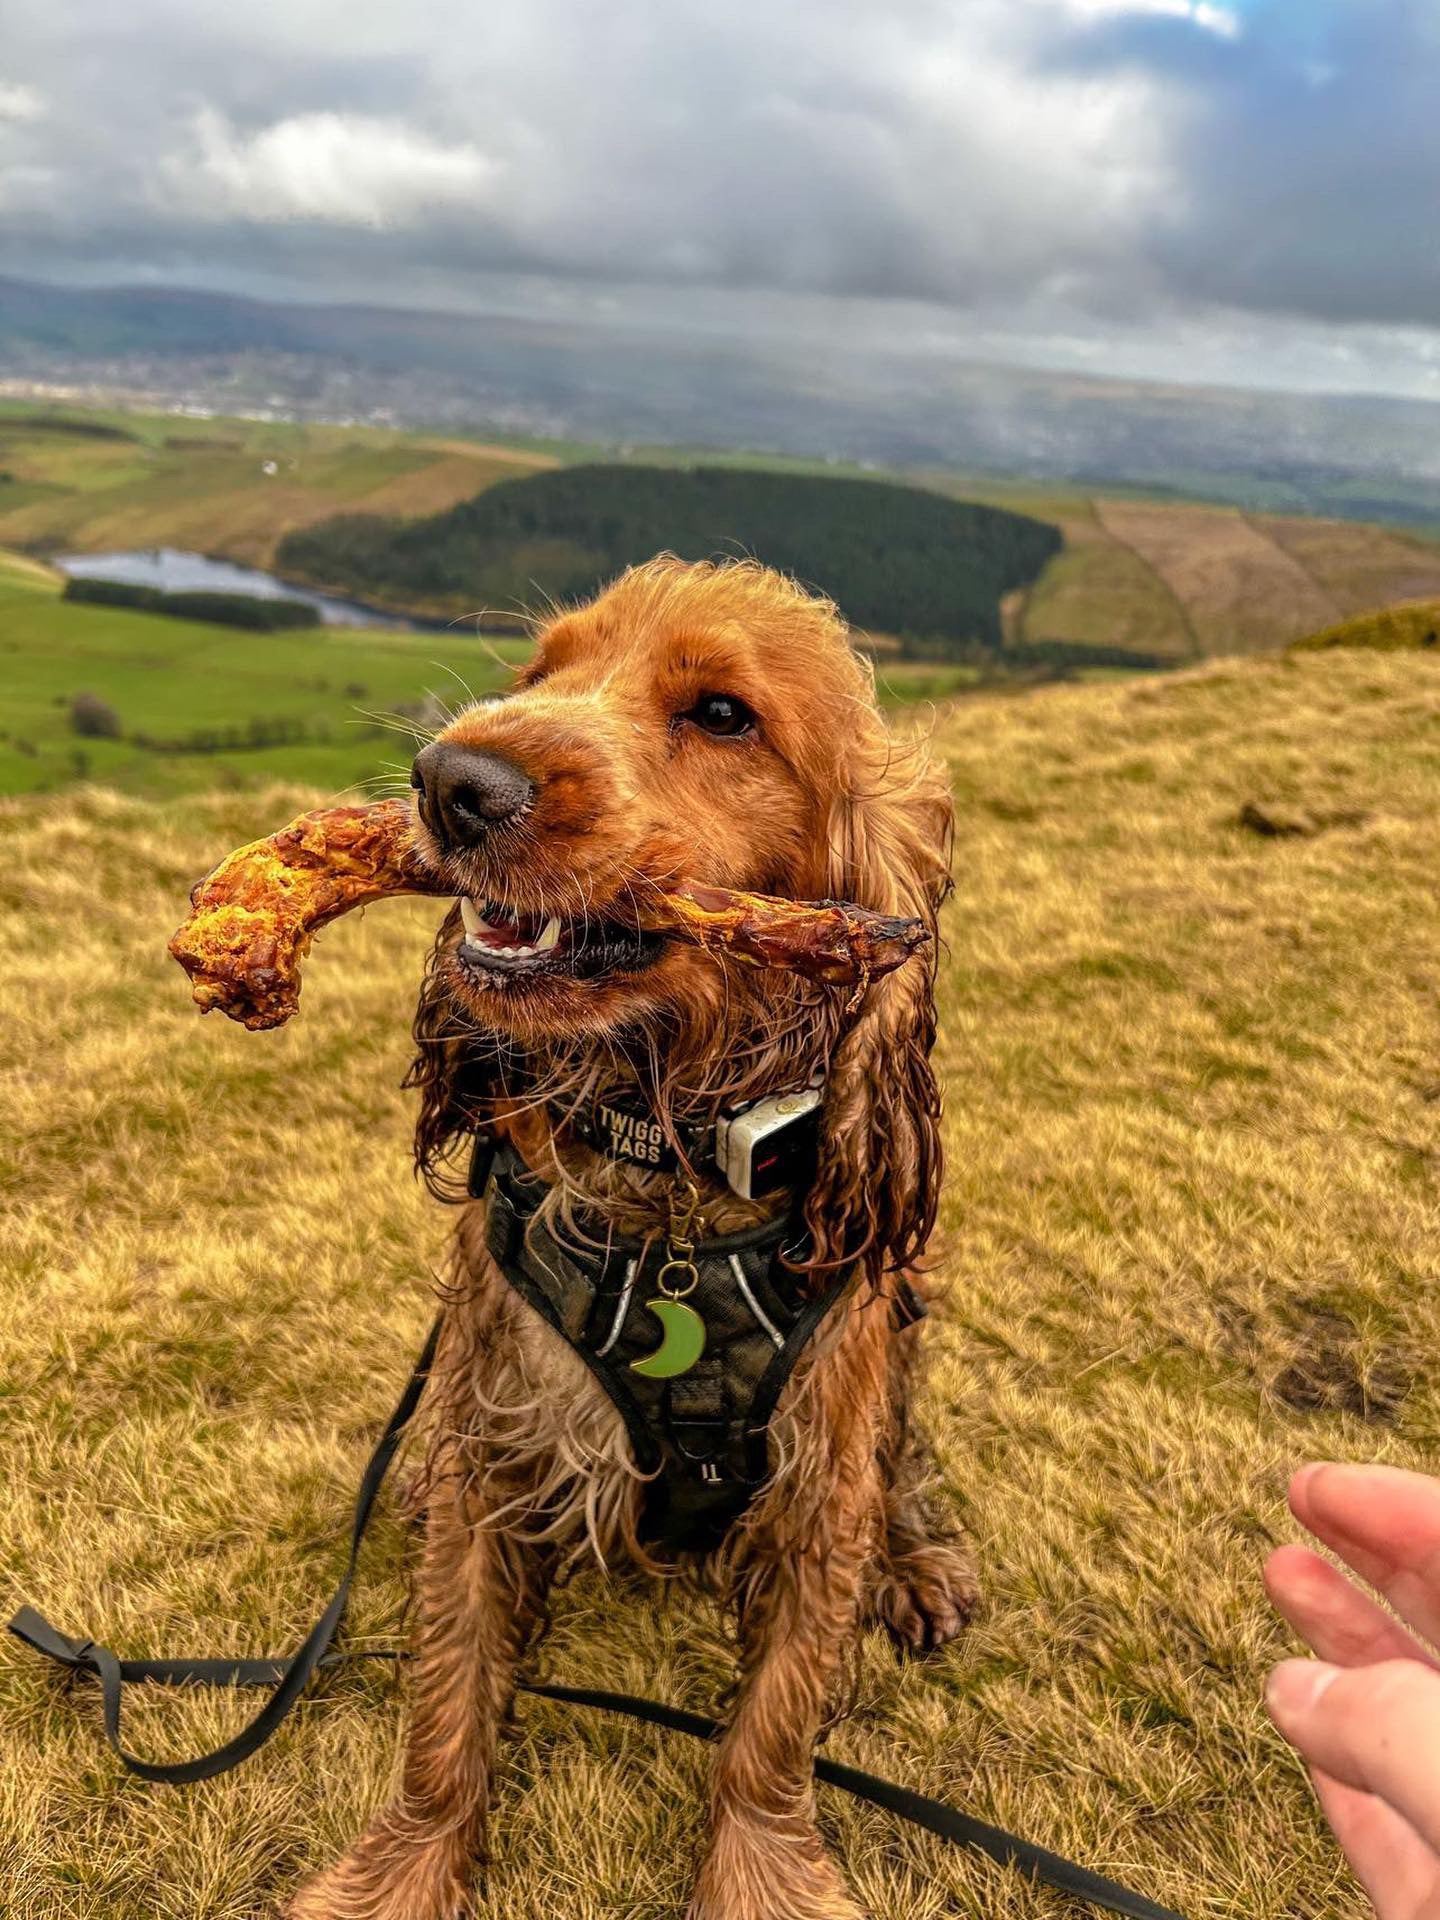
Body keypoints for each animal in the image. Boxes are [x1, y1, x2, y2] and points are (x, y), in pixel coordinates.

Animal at [289, 556, 983, 1920]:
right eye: (542, 671)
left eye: (722, 715)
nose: (451, 781)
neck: (671, 1177)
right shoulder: (495, 1447)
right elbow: (446, 1711)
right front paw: (402, 1874)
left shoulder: (817, 1483)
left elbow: (771, 1733)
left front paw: (762, 1877)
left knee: (903, 1460)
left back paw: (917, 1565)